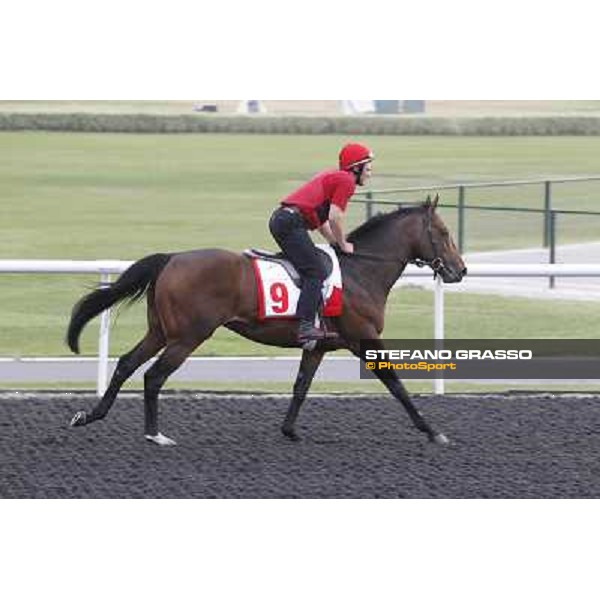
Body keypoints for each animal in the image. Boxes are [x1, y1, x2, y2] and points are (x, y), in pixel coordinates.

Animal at [67, 197, 468, 446]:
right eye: (444, 233)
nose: (460, 270)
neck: (361, 271)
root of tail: (172, 258)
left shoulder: (318, 345)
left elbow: (301, 387)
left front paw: (289, 430)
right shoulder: (364, 340)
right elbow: (396, 384)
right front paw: (432, 430)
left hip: (161, 330)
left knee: (126, 363)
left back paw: (89, 416)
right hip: (188, 335)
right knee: (153, 375)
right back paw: (154, 434)